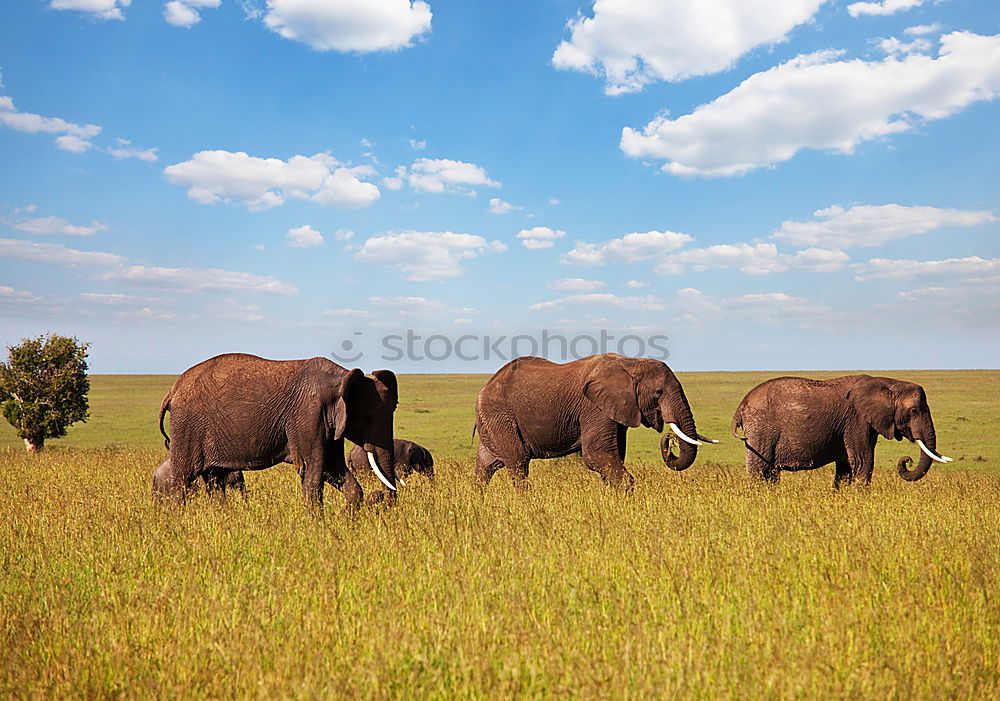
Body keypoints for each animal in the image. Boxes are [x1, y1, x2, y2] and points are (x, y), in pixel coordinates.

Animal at [154, 352, 396, 506]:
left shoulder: (329, 425)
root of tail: (172, 390)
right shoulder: (309, 415)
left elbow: (333, 468)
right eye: (367, 419)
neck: (343, 377)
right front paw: (317, 528)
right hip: (187, 425)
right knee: (183, 479)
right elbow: (314, 470)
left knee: (214, 479)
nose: (379, 498)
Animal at [472, 352, 716, 490]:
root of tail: (484, 389)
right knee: (518, 463)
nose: (668, 438)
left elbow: (612, 456)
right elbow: (596, 455)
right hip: (500, 416)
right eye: (658, 392)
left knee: (486, 467)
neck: (631, 363)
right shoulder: (594, 408)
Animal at [736, 372, 952, 486]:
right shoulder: (857, 420)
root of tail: (741, 406)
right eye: (914, 411)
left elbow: (846, 467)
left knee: (770, 473)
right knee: (759, 469)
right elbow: (863, 462)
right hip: (761, 430)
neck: (888, 382)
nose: (907, 460)